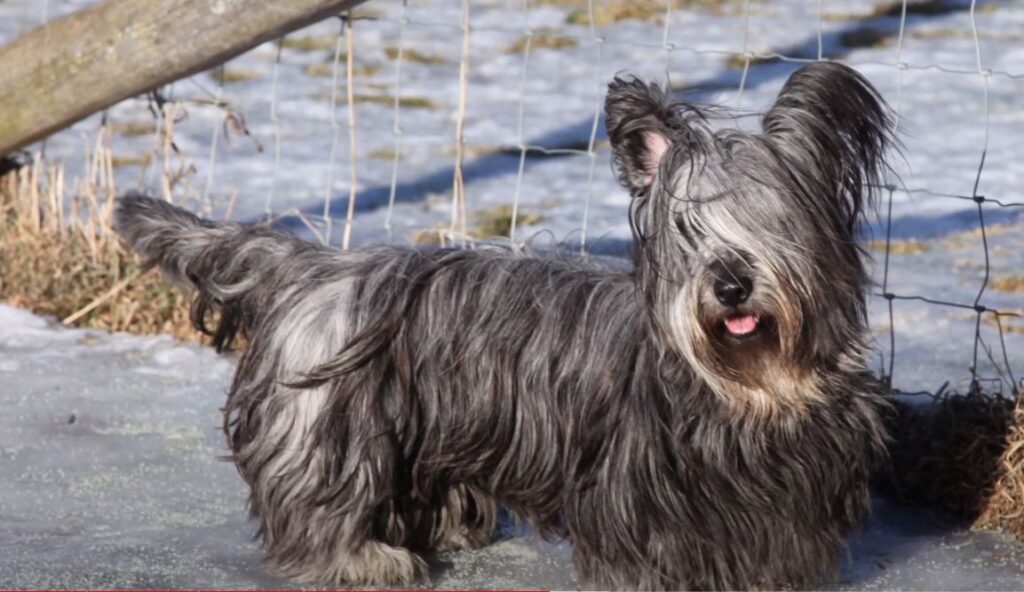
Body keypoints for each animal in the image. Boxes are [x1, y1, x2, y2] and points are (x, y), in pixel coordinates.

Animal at [114, 62, 897, 585]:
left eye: (770, 221)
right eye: (687, 228)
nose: (730, 285)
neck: (750, 392)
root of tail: (314, 266)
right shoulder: (642, 506)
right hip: (334, 429)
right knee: (318, 506)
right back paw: (367, 559)